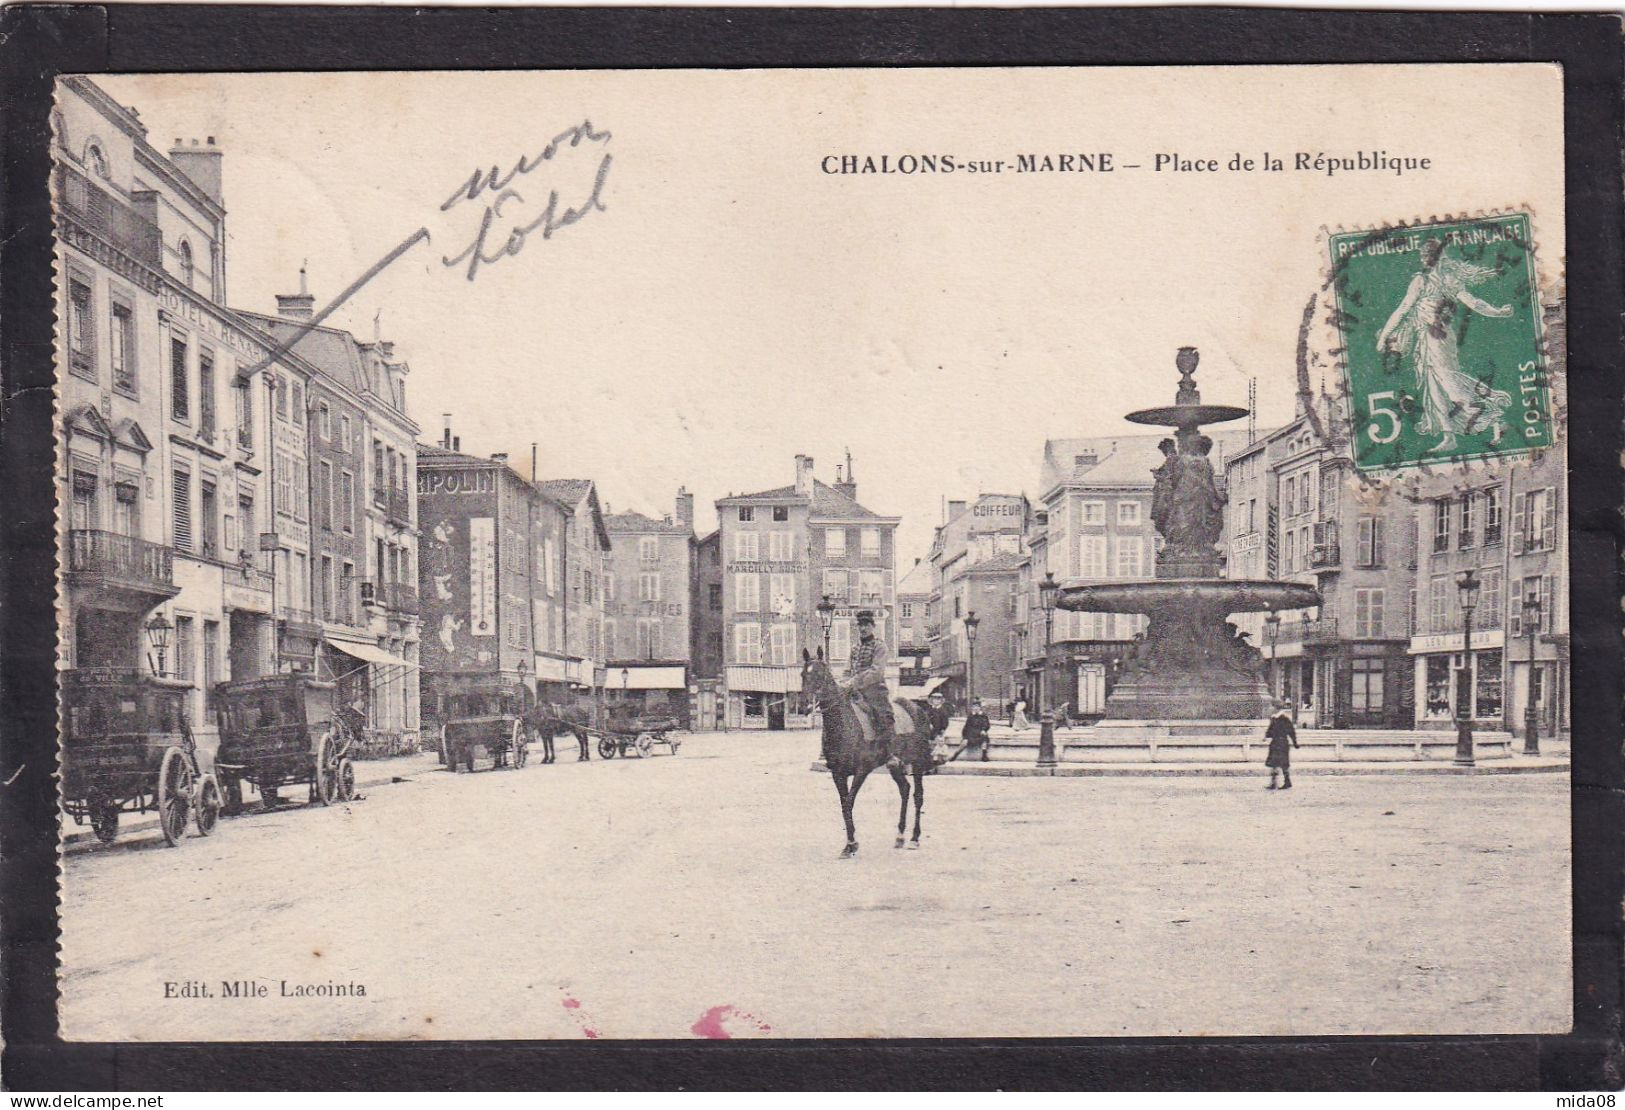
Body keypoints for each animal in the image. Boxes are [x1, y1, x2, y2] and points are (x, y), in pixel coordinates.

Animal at [802, 650, 942, 858]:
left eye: (820, 674)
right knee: (904, 789)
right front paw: (850, 844)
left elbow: (848, 803)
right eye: (803, 674)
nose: (804, 706)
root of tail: (918, 709)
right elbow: (844, 804)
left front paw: (852, 843)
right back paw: (900, 836)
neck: (845, 724)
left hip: (917, 762)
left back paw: (914, 838)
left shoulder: (862, 771)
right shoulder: (838, 774)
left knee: (918, 795)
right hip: (895, 765)